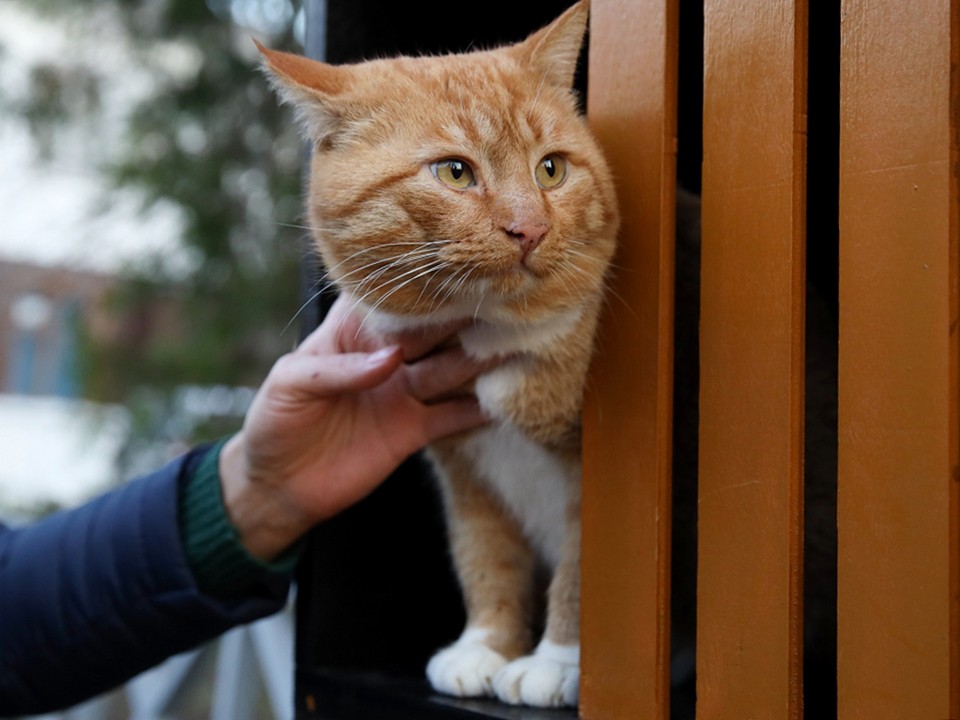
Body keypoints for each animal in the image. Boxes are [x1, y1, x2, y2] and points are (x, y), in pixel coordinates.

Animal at [256, 1, 616, 708]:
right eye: (454, 171)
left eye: (551, 169)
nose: (531, 228)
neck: (491, 338)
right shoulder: (465, 471)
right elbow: (486, 558)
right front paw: (485, 648)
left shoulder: (597, 473)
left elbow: (583, 574)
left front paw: (558, 663)